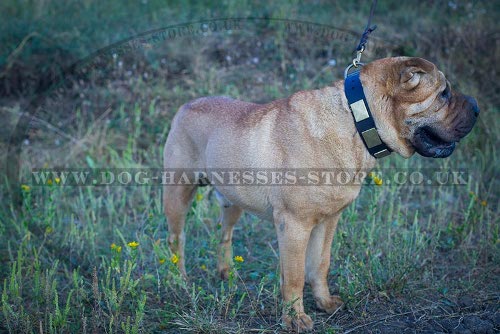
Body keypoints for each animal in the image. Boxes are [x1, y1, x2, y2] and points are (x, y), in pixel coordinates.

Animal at [162, 57, 478, 332]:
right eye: (444, 93)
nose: (476, 107)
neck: (356, 122)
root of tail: (185, 106)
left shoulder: (328, 221)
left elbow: (319, 264)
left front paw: (324, 303)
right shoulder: (294, 225)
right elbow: (294, 276)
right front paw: (294, 320)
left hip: (232, 201)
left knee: (224, 234)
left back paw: (226, 272)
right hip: (178, 194)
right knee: (176, 240)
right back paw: (181, 280)